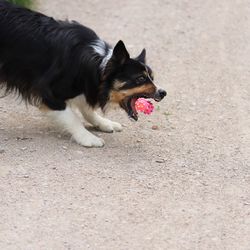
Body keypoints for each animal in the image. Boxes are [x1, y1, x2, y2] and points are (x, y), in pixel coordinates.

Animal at [0, 0, 167, 147]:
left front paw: (103, 123)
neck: (98, 65)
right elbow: (71, 117)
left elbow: (87, 109)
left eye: (152, 77)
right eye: (140, 78)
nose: (163, 92)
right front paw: (88, 138)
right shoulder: (49, 92)